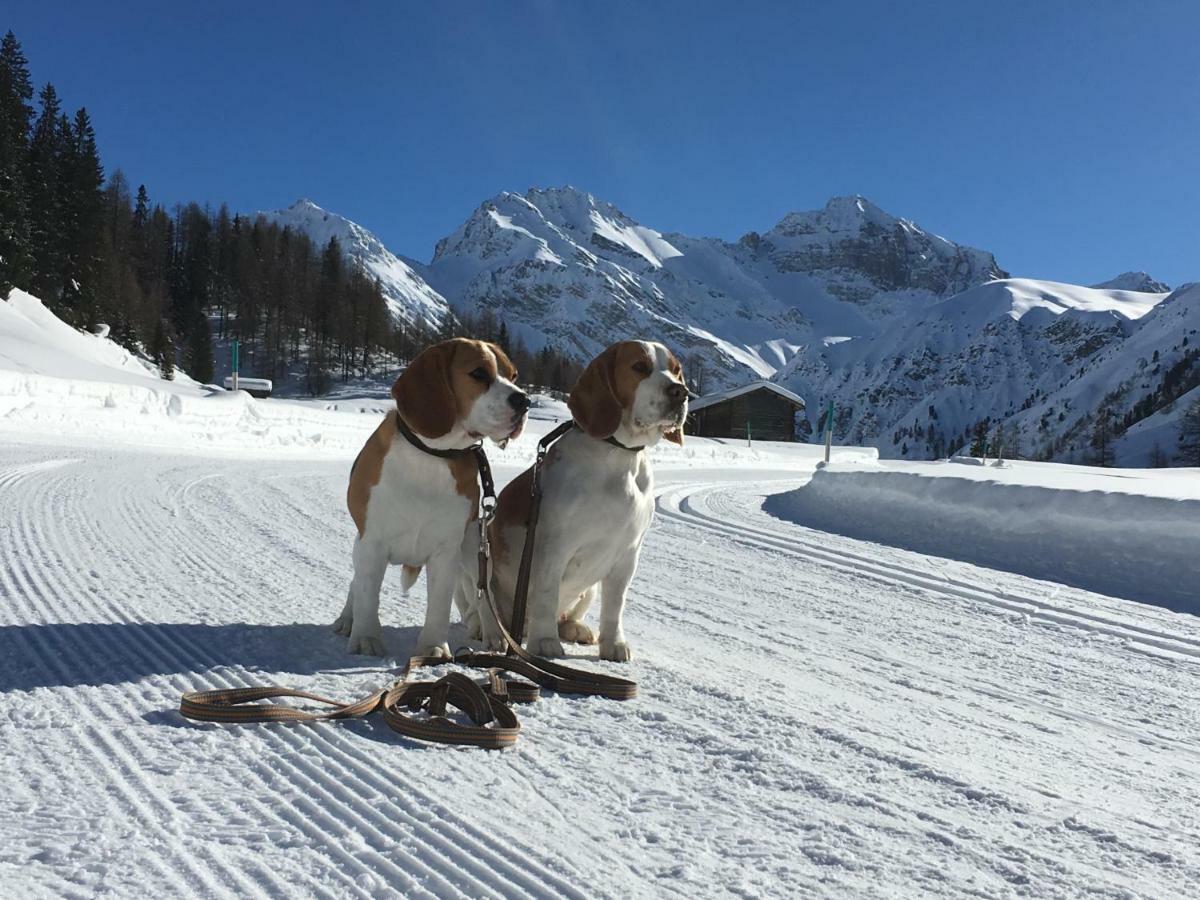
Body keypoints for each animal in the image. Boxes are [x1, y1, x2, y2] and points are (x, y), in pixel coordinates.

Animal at [336, 338, 528, 657]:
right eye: (478, 373)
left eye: (513, 376)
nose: (524, 401)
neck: (432, 456)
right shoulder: (372, 543)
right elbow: (366, 593)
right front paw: (365, 637)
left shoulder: (446, 551)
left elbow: (439, 605)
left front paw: (433, 649)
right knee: (355, 582)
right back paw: (347, 618)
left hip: (474, 546)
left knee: (484, 592)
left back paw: (493, 633)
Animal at [458, 338, 686, 662]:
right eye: (640, 366)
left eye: (676, 370)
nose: (680, 392)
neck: (617, 456)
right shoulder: (554, 546)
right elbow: (546, 594)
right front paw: (544, 643)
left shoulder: (628, 553)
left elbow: (615, 605)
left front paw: (613, 644)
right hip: (474, 544)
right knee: (481, 606)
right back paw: (491, 633)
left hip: (588, 589)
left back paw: (575, 629)